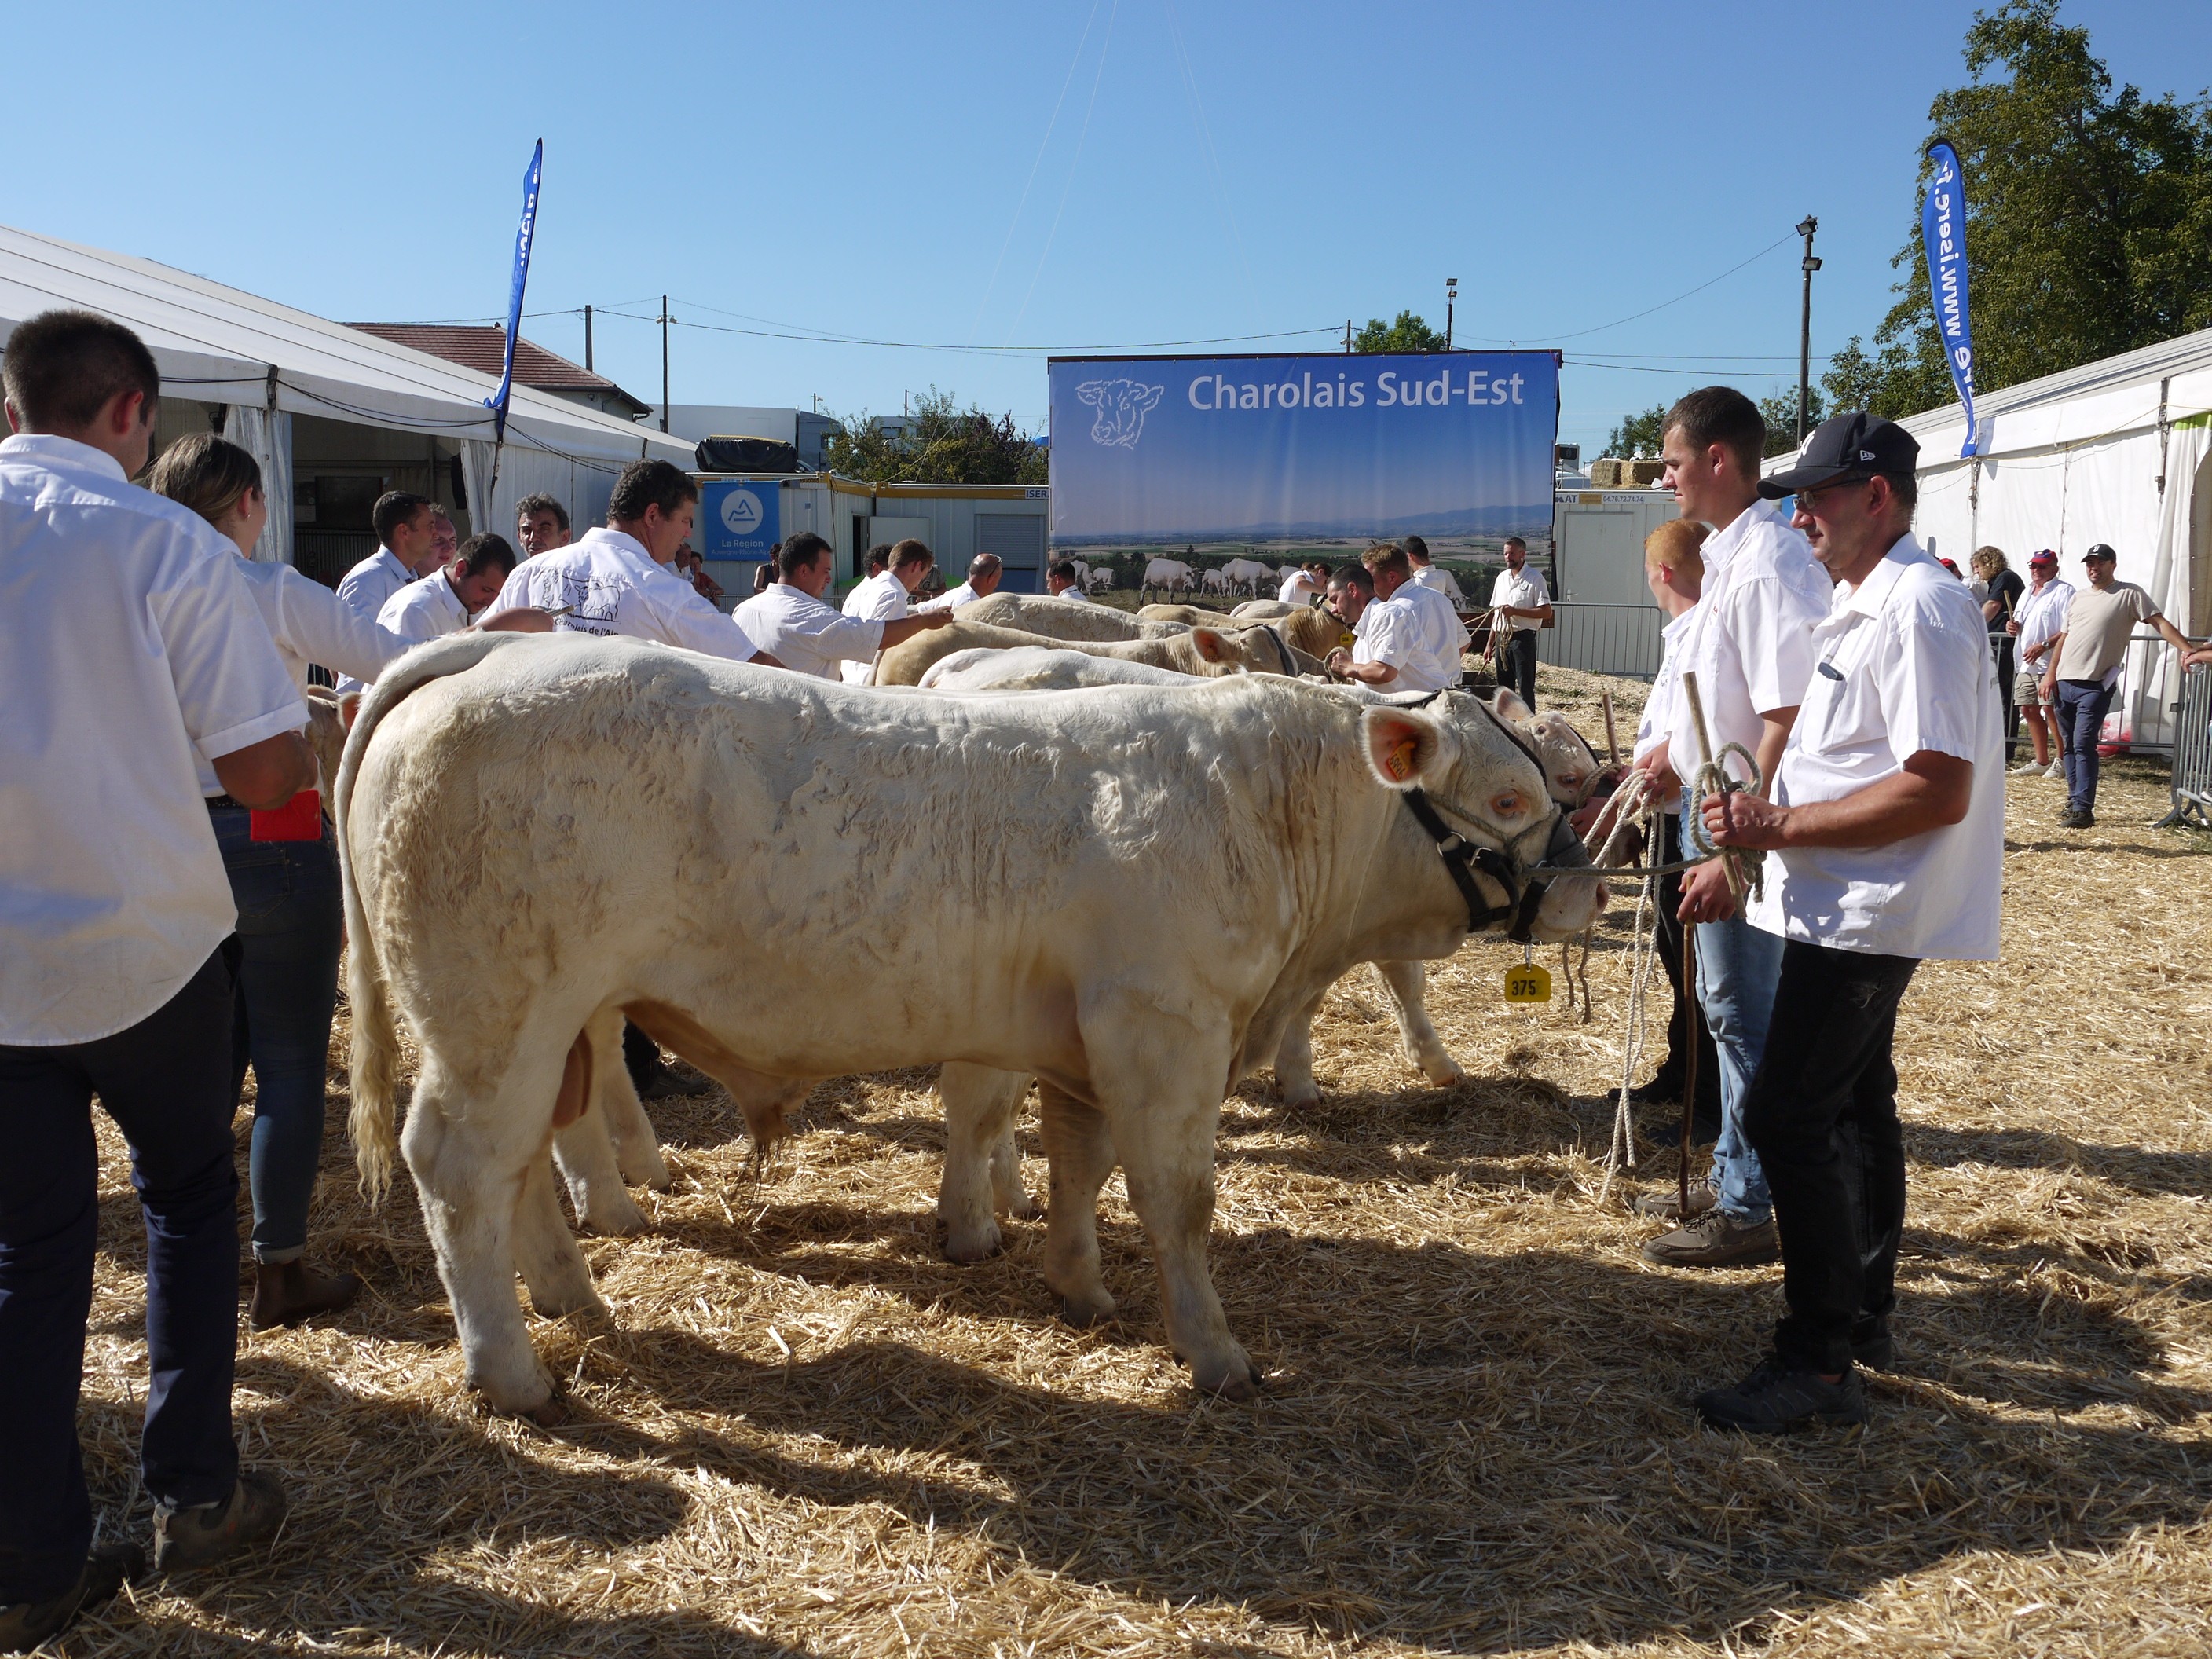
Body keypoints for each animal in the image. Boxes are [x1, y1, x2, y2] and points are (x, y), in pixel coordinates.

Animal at [336, 632, 1601, 1415]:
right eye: (1510, 797)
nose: (1586, 887)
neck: (1259, 803)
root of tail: (496, 649)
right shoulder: (1165, 1028)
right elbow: (1177, 1200)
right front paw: (1215, 1353)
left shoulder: (1088, 1043)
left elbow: (1082, 1164)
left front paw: (1078, 1286)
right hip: (495, 1019)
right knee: (460, 1168)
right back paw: (513, 1374)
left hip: (545, 1027)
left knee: (524, 1168)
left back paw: (579, 1305)